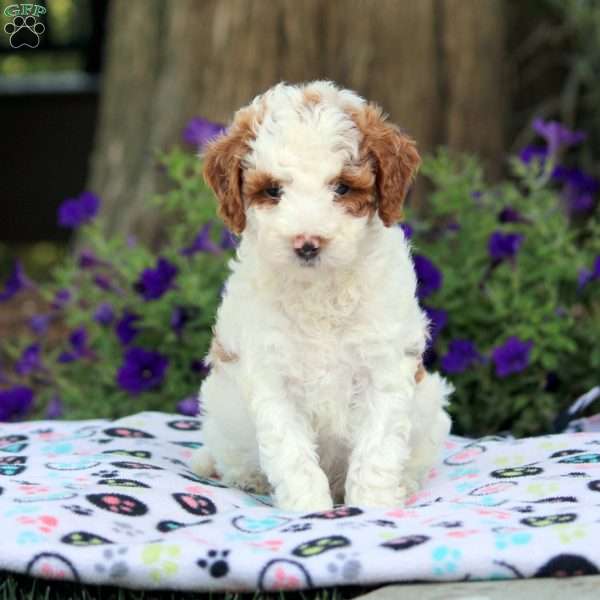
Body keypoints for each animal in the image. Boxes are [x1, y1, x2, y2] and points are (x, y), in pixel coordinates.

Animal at [191, 81, 450, 510]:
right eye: (273, 191)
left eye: (342, 187)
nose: (307, 243)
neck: (320, 290)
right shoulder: (273, 376)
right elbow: (291, 452)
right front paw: (308, 508)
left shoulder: (384, 368)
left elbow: (378, 448)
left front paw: (374, 505)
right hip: (221, 411)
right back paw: (249, 479)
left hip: (429, 403)